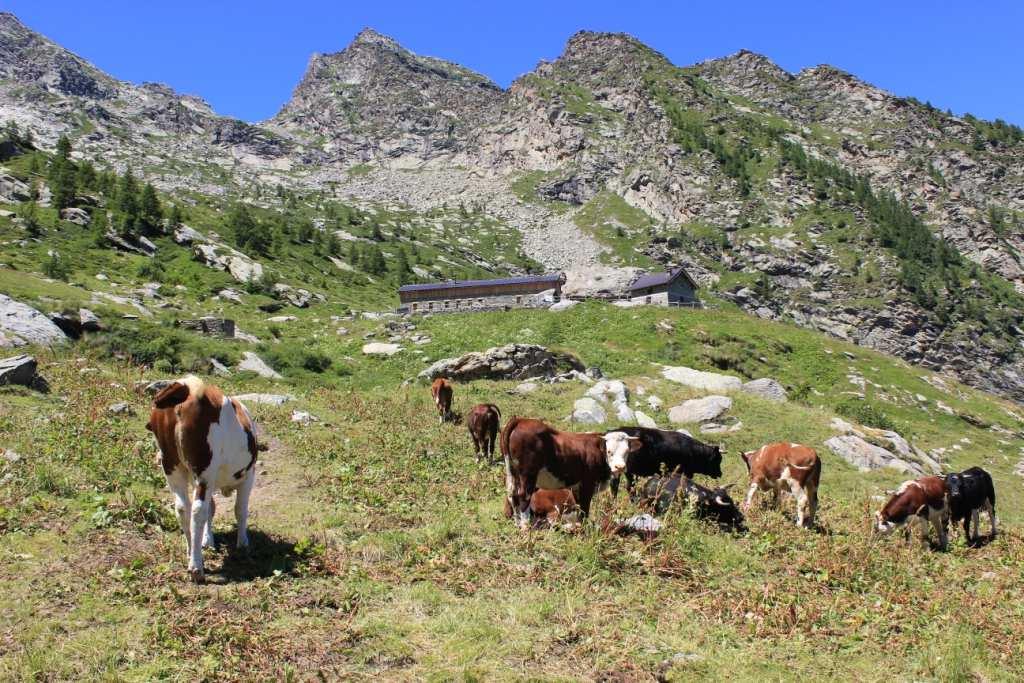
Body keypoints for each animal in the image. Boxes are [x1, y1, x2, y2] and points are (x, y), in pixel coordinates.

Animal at [148, 376, 260, 585]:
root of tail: (186, 387)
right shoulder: (248, 475)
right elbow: (240, 510)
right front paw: (243, 544)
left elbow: (212, 509)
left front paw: (207, 540)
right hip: (204, 470)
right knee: (198, 510)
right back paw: (196, 568)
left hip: (171, 464)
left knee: (182, 507)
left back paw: (191, 552)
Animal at [497, 417, 638, 528]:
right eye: (609, 451)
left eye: (627, 451)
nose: (620, 467)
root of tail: (521, 420)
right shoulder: (587, 484)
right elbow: (585, 509)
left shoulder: (576, 487)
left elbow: (579, 507)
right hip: (528, 474)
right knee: (523, 496)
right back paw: (525, 526)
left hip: (512, 471)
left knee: (512, 494)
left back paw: (517, 524)